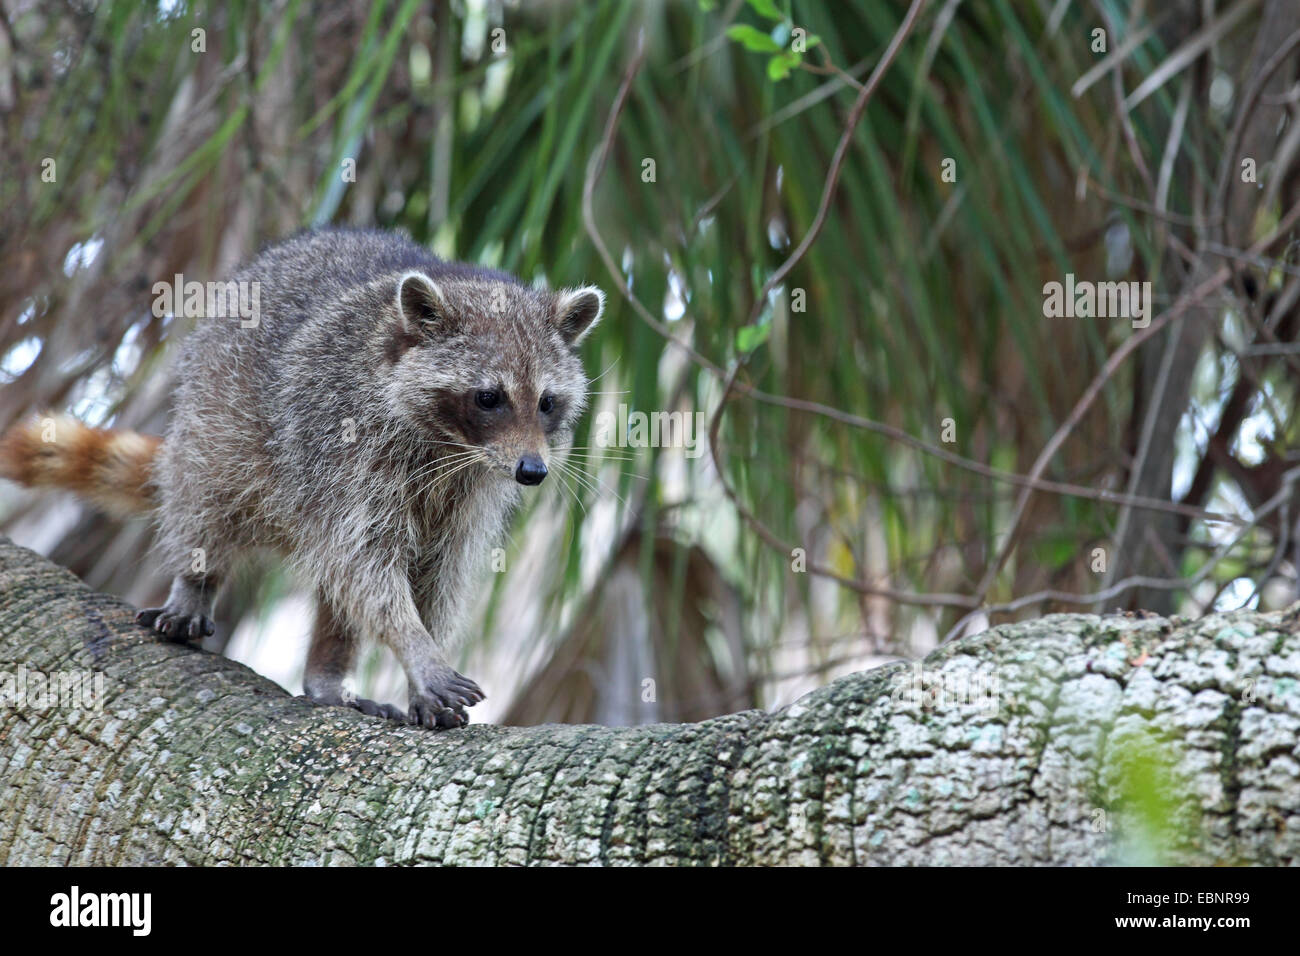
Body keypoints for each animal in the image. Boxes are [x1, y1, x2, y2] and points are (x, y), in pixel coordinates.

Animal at [1, 227, 603, 728]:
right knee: (207, 503)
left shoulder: (471, 491)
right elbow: (370, 571)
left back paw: (326, 674)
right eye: (488, 398)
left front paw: (421, 655)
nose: (533, 472)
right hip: (219, 414)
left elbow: (435, 576)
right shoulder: (346, 446)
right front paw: (417, 648)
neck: (449, 446)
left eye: (547, 403)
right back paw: (195, 582)